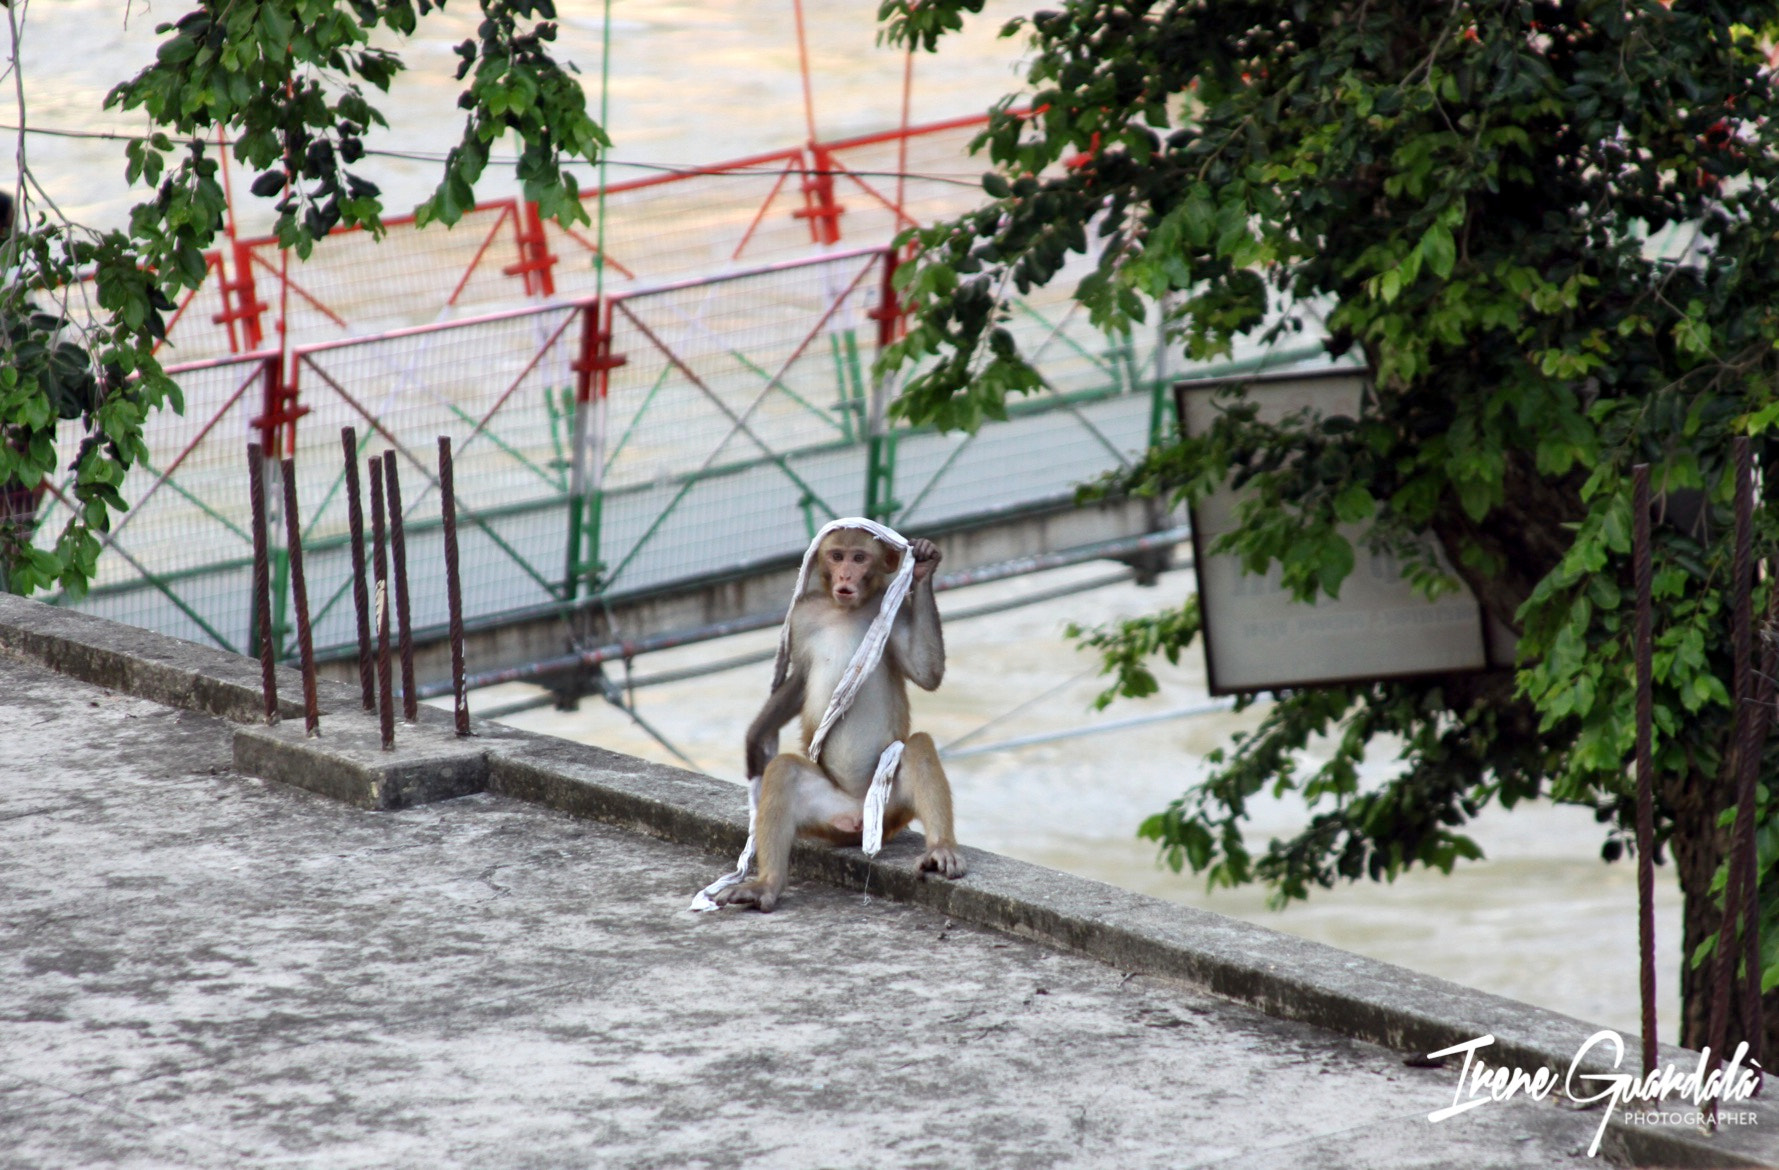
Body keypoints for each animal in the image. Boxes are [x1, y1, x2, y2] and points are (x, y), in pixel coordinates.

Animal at [713, 525, 966, 911]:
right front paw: (756, 737)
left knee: (918, 747)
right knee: (784, 771)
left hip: (890, 806)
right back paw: (766, 885)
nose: (846, 576)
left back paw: (940, 849)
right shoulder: (803, 617)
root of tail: (856, 814)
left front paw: (923, 565)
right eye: (837, 556)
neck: (846, 609)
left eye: (859, 558)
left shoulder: (894, 614)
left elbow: (926, 672)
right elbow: (802, 676)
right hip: (824, 814)